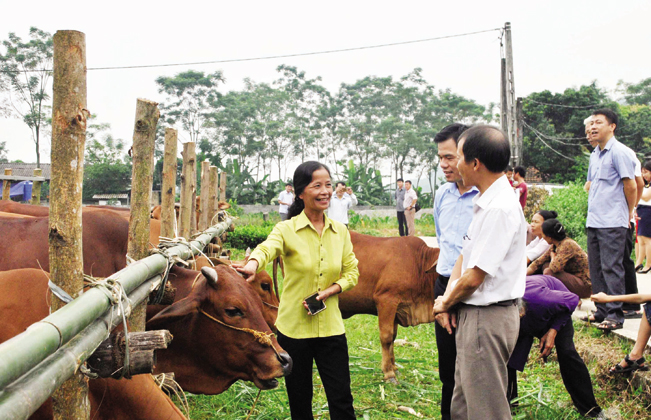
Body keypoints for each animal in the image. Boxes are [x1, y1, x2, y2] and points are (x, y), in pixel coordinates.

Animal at [338, 233, 440, 384]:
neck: (418, 264)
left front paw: (394, 367)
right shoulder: (386, 300)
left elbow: (393, 337)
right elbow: (386, 337)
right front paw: (389, 373)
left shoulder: (397, 309)